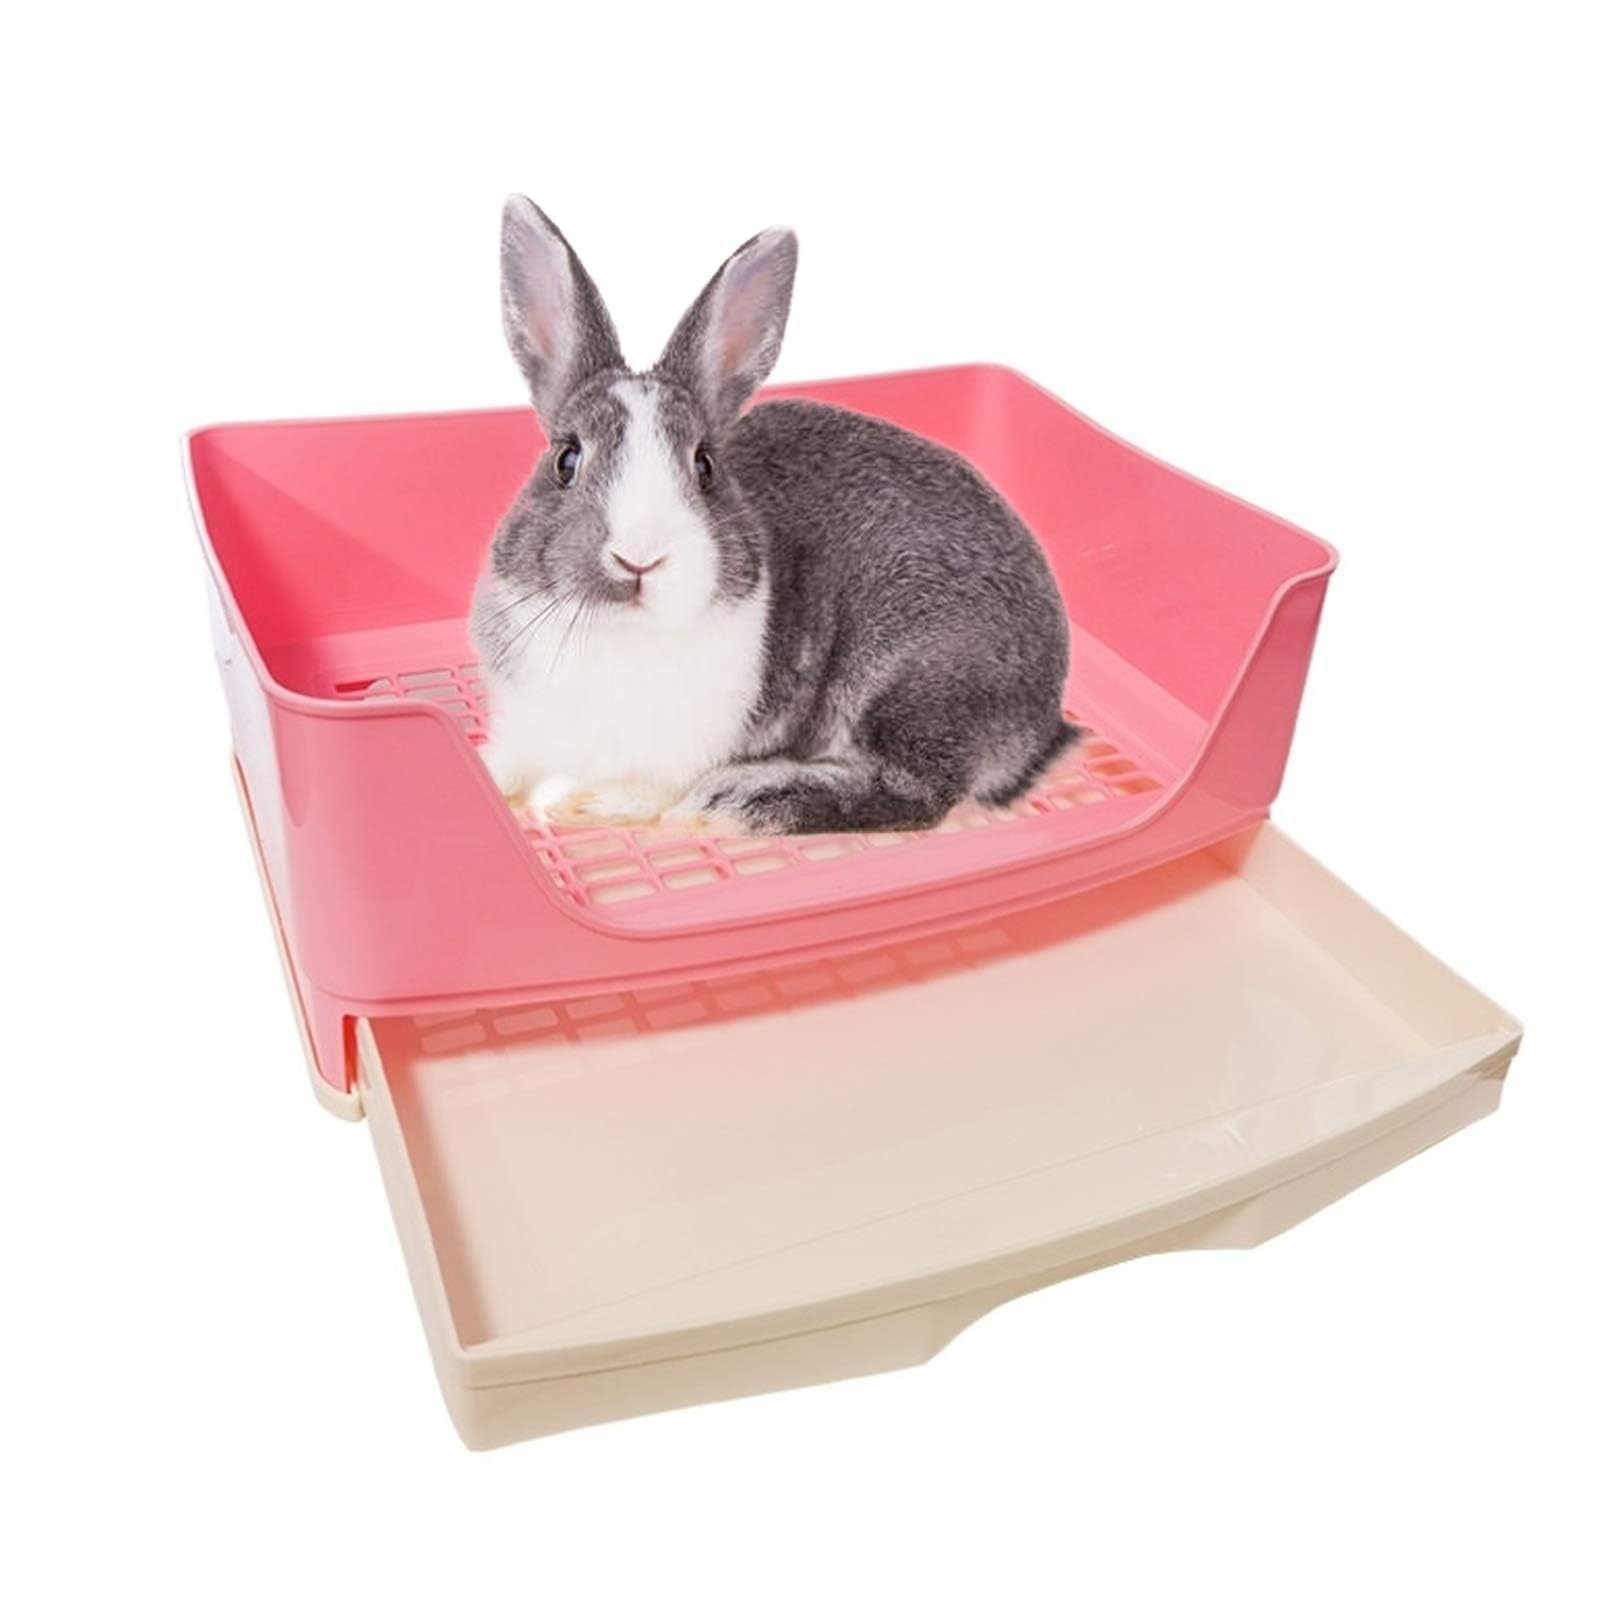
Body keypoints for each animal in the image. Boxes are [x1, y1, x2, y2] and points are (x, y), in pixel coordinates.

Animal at [471, 195, 1079, 835]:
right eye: (566, 459)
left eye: (705, 465)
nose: (639, 559)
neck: (620, 634)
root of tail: (1043, 719)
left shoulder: (673, 761)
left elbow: (638, 795)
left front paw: (566, 801)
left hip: (915, 675)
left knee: (914, 791)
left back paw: (740, 800)